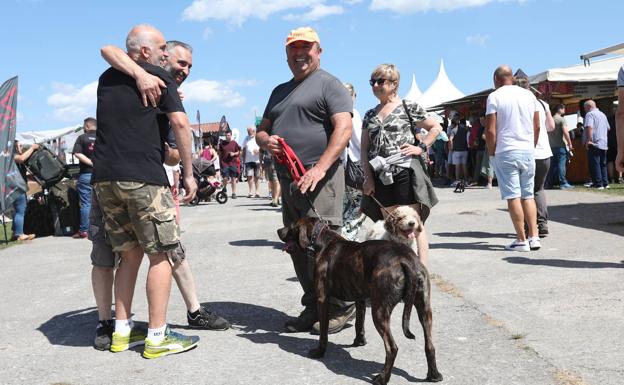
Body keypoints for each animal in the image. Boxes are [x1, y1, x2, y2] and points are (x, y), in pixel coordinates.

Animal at [278, 218, 444, 382]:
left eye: (291, 226)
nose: (279, 230)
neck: (323, 240)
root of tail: (406, 260)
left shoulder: (322, 299)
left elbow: (323, 332)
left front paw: (320, 351)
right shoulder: (360, 299)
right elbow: (359, 323)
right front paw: (359, 341)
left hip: (379, 311)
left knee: (392, 348)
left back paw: (383, 378)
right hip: (424, 309)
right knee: (430, 345)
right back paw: (434, 375)